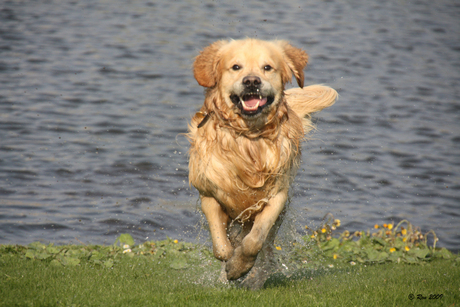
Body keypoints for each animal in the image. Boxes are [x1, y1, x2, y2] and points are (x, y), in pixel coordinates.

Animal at [188, 38, 338, 288]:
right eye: (236, 67)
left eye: (267, 67)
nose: (251, 81)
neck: (249, 139)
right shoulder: (209, 193)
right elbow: (221, 248)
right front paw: (230, 264)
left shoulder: (277, 196)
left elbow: (254, 241)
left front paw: (239, 267)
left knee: (268, 257)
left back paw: (254, 280)